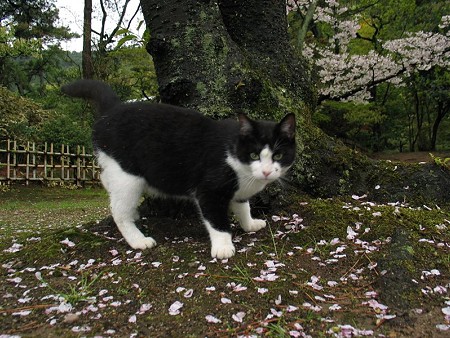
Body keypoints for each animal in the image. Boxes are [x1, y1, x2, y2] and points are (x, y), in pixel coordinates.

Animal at [62, 80, 296, 258]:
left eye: (278, 155)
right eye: (254, 155)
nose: (266, 172)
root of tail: (111, 110)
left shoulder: (239, 191)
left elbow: (242, 205)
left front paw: (249, 224)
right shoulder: (209, 190)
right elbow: (216, 220)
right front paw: (222, 246)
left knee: (107, 182)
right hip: (127, 176)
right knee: (118, 211)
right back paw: (137, 240)